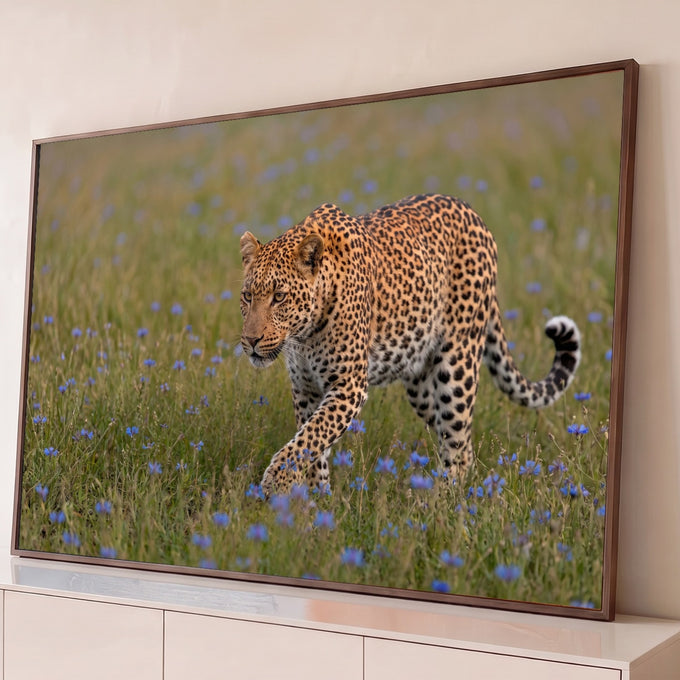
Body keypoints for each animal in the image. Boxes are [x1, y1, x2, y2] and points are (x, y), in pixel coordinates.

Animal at [239, 193, 581, 496]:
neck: (303, 335)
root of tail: (475, 215)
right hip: (421, 386)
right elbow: (312, 445)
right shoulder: (306, 389)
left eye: (279, 297)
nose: (251, 341)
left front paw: (277, 480)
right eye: (247, 296)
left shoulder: (348, 386)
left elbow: (310, 437)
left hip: (456, 369)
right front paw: (314, 501)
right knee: (460, 441)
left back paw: (443, 504)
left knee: (458, 445)